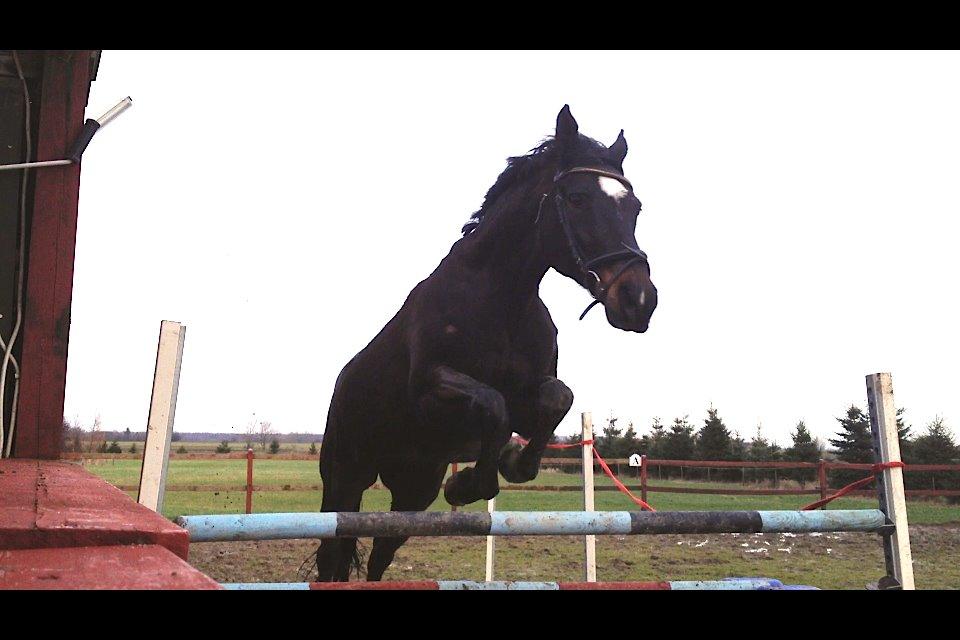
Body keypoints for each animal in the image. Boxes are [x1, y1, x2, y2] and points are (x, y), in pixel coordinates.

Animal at [318, 107, 656, 584]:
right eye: (576, 199)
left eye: (634, 206)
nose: (639, 301)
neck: (502, 299)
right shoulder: (430, 391)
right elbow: (493, 406)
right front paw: (469, 483)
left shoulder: (532, 392)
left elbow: (557, 398)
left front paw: (509, 462)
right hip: (346, 478)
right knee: (333, 554)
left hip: (414, 488)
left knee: (380, 552)